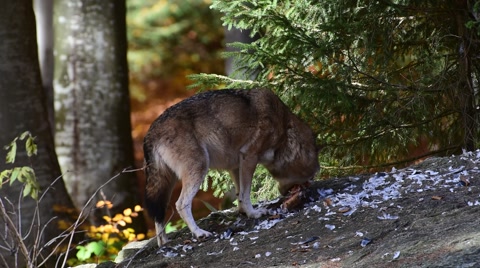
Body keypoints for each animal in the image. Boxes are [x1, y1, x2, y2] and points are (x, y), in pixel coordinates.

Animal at [144, 88, 320, 247]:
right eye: (308, 178)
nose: (305, 190)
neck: (284, 129)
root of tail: (151, 132)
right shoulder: (249, 157)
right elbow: (246, 193)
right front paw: (254, 214)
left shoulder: (235, 166)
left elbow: (240, 193)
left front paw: (244, 212)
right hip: (198, 169)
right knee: (181, 204)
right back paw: (199, 233)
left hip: (167, 182)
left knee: (159, 212)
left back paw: (164, 242)